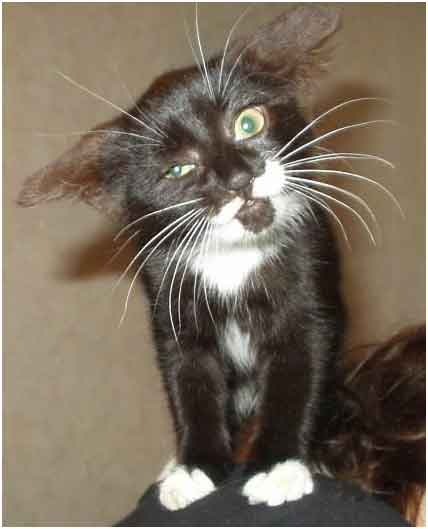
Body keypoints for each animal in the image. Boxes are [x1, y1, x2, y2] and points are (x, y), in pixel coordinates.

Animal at [18, 5, 349, 511]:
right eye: (178, 169)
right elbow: (188, 378)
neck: (232, 259)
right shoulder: (168, 295)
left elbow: (301, 366)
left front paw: (277, 465)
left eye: (249, 123)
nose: (238, 179)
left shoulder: (308, 269)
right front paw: (195, 466)